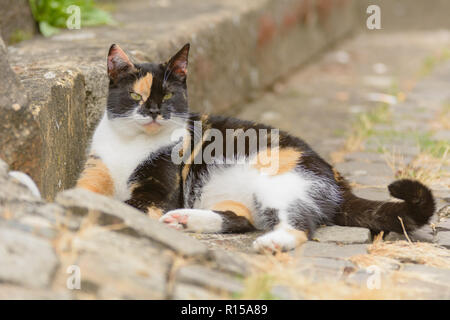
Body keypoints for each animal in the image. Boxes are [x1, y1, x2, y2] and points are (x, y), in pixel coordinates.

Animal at [77, 43, 436, 252]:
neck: (132, 144)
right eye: (135, 95)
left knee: (299, 222)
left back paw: (272, 242)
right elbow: (82, 192)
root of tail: (337, 179)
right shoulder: (95, 167)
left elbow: (129, 206)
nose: (153, 112)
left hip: (282, 183)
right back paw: (185, 220)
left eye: (167, 96)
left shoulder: (158, 190)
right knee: (241, 219)